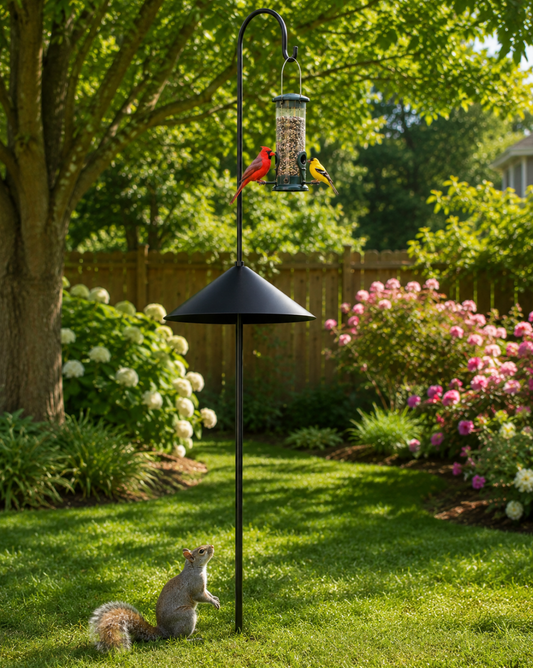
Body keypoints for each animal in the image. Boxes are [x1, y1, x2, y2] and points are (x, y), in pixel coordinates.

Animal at [89, 544, 220, 652]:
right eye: (201, 551)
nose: (212, 546)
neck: (195, 569)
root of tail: (164, 631)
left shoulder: (203, 588)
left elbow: (207, 593)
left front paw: (215, 597)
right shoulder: (195, 587)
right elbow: (201, 596)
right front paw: (213, 602)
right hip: (186, 615)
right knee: (178, 638)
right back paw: (192, 639)